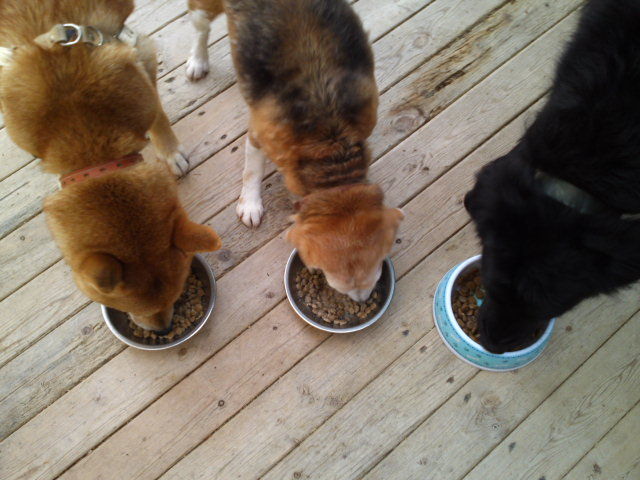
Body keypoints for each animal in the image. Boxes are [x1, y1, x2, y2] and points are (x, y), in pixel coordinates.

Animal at [0, 0, 222, 331]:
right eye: (121, 305)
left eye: (177, 292)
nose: (165, 329)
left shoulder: (137, 54)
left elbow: (157, 114)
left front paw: (171, 152)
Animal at [185, 0, 403, 302]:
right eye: (339, 280)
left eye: (378, 266)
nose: (361, 300)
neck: (330, 141)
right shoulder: (258, 136)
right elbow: (252, 172)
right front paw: (250, 204)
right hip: (205, 10)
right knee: (200, 29)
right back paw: (198, 61)